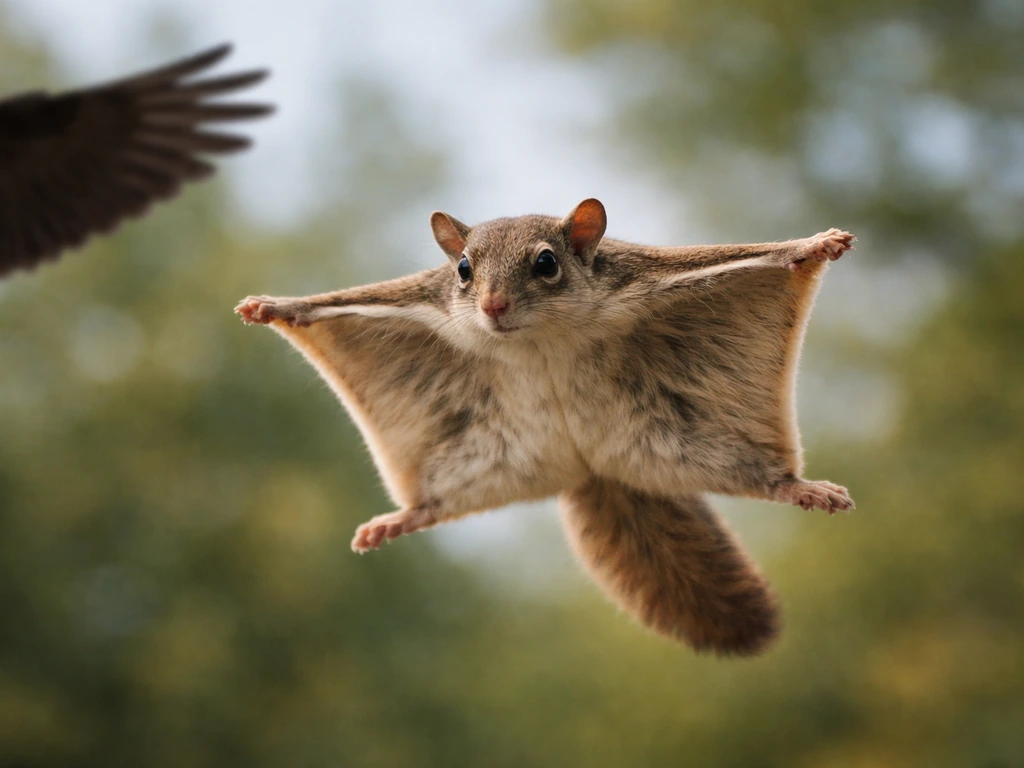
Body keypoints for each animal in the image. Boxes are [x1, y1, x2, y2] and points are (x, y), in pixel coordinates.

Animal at [235, 198, 855, 656]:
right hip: (478, 466)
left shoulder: (650, 272)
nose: (493, 305)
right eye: (463, 269)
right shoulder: (419, 297)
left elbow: (761, 255)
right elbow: (335, 303)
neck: (539, 340)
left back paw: (805, 489)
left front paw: (815, 244)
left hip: (701, 447)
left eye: (546, 263)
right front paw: (274, 306)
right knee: (433, 506)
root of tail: (592, 470)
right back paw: (395, 521)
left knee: (766, 479)